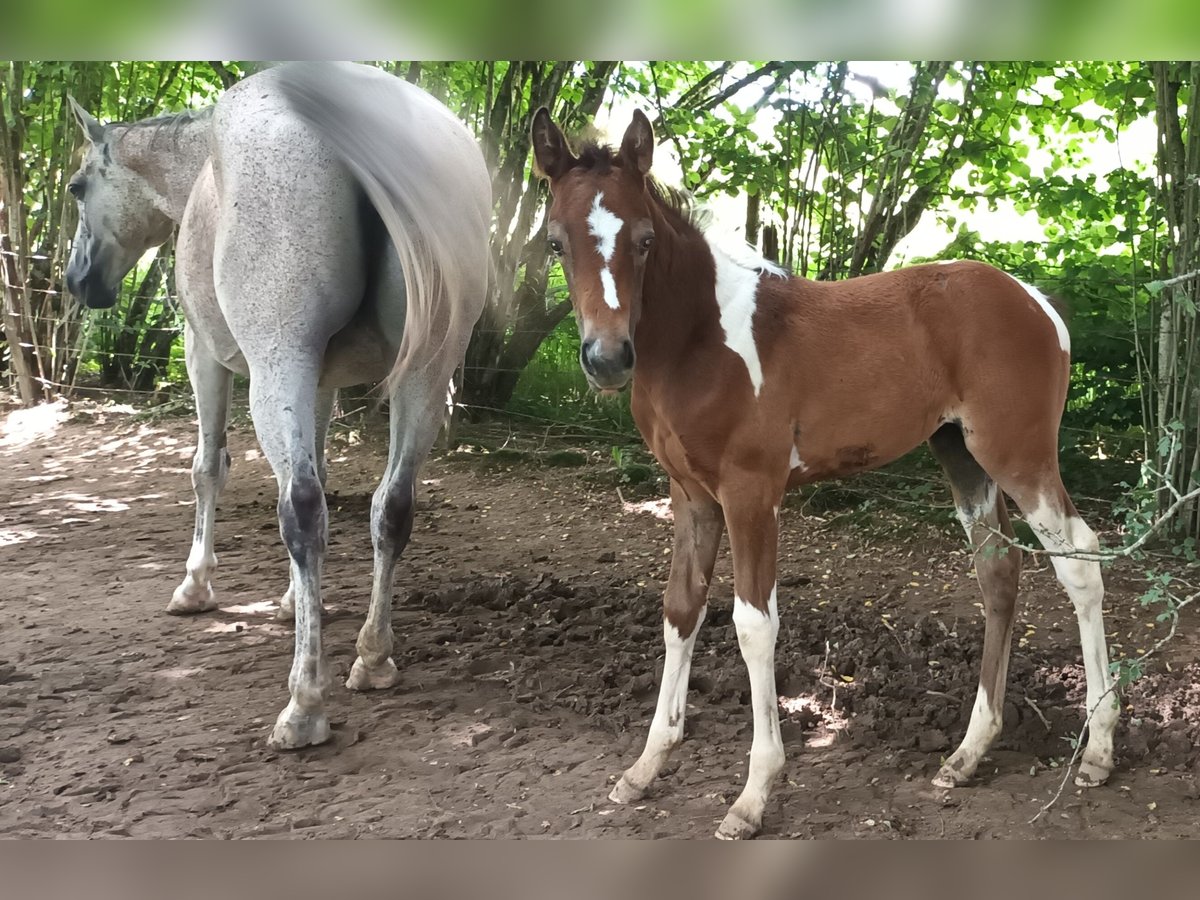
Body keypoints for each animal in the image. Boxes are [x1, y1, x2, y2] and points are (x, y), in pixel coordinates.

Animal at [63, 63, 487, 748]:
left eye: (78, 187)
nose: (79, 281)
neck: (202, 166)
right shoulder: (323, 381)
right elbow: (322, 465)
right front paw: (297, 603)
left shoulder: (205, 354)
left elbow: (210, 468)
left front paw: (195, 586)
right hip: (425, 371)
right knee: (391, 506)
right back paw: (372, 657)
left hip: (278, 363)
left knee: (304, 509)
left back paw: (304, 704)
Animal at [532, 109, 1113, 844]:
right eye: (557, 242)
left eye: (642, 240)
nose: (608, 359)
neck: (700, 339)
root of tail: (1038, 301)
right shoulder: (690, 497)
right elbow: (680, 609)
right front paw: (645, 768)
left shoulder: (751, 493)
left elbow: (754, 625)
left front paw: (752, 797)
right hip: (961, 456)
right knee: (998, 574)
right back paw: (966, 755)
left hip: (1018, 453)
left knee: (1079, 559)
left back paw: (1099, 750)